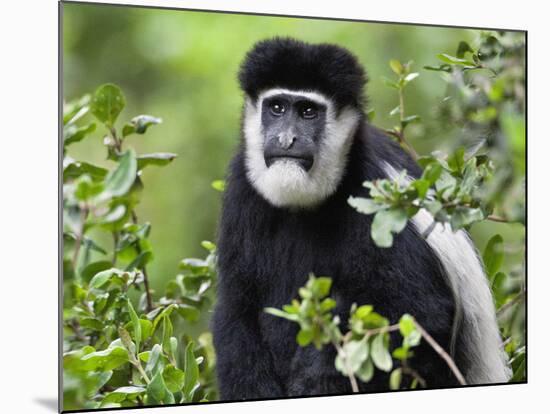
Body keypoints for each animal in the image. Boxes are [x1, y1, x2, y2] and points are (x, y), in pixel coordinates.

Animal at [212, 37, 512, 400]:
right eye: (277, 108)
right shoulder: (243, 190)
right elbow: (237, 306)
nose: (286, 139)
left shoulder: (378, 198)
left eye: (308, 111)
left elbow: (418, 314)